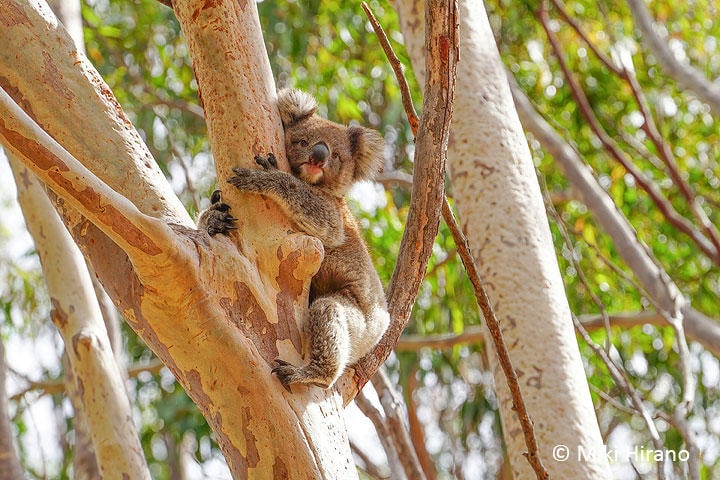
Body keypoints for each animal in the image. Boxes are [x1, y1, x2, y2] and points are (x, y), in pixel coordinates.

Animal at [198, 89, 389, 389]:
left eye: (336, 155)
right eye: (302, 141)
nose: (318, 157)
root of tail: (384, 325)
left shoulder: (334, 215)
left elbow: (323, 221)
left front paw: (266, 175)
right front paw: (215, 217)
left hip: (360, 325)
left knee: (328, 311)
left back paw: (308, 373)